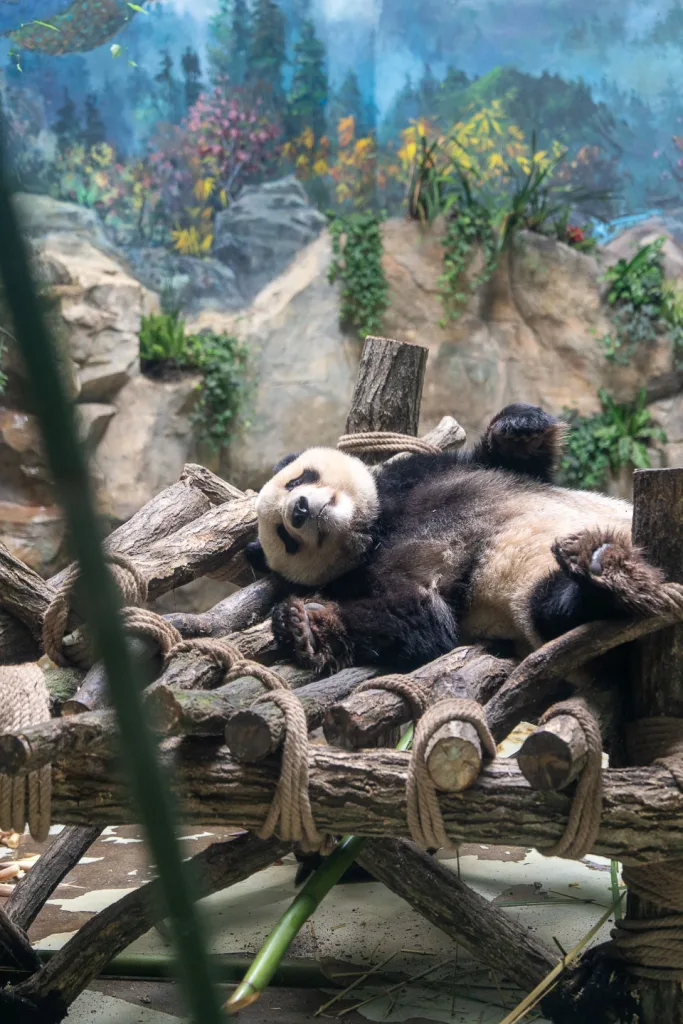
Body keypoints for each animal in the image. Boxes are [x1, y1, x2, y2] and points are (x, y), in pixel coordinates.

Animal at [247, 403, 666, 677]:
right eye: (284, 536)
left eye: (297, 480)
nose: (299, 510)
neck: (376, 529)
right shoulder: (366, 577)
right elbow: (420, 621)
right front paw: (304, 624)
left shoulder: (429, 471)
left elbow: (516, 463)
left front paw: (520, 426)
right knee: (553, 610)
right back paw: (598, 568)